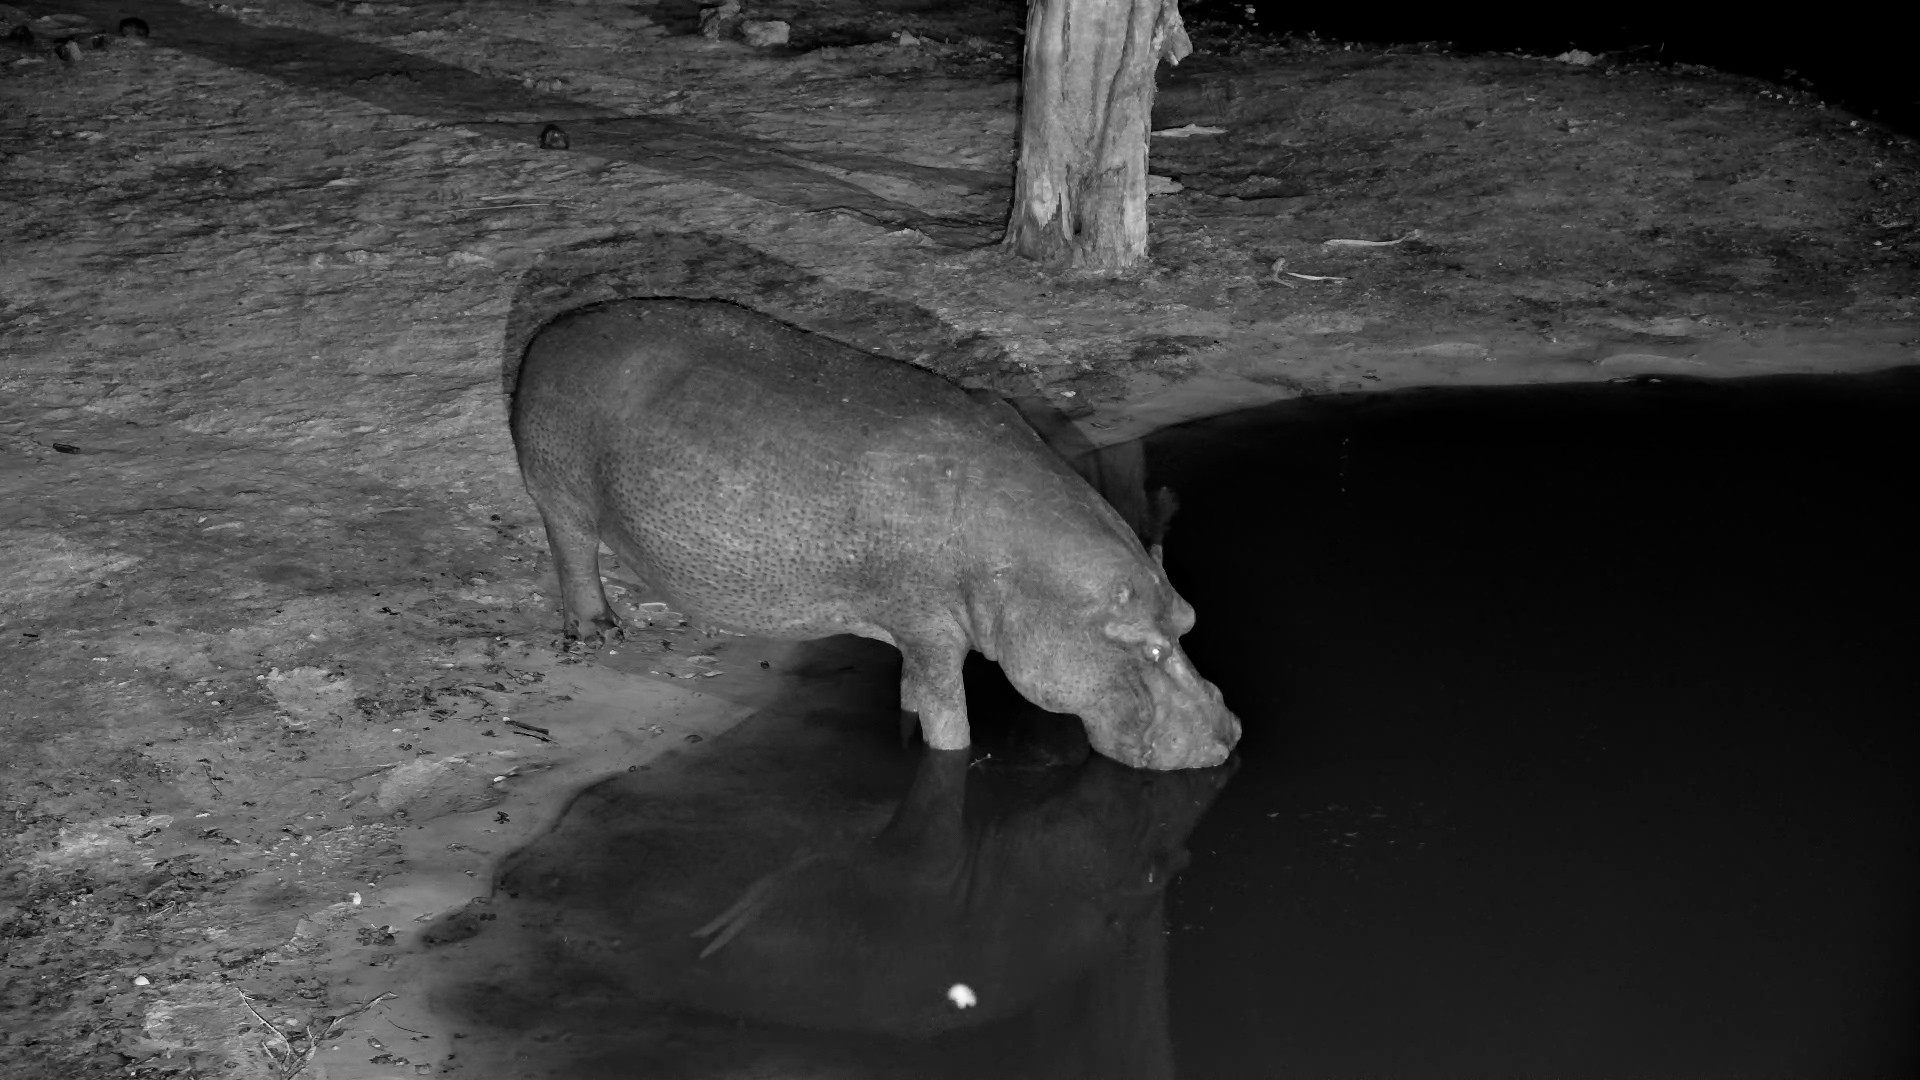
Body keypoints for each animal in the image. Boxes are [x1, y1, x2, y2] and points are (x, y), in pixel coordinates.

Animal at [508, 297, 1239, 770]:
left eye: (1188, 620)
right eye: (1147, 651)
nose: (1229, 734)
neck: (1023, 573)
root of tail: (551, 333)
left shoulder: (921, 635)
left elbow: (914, 694)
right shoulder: (932, 632)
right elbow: (949, 720)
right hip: (561, 497)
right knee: (574, 556)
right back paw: (599, 633)